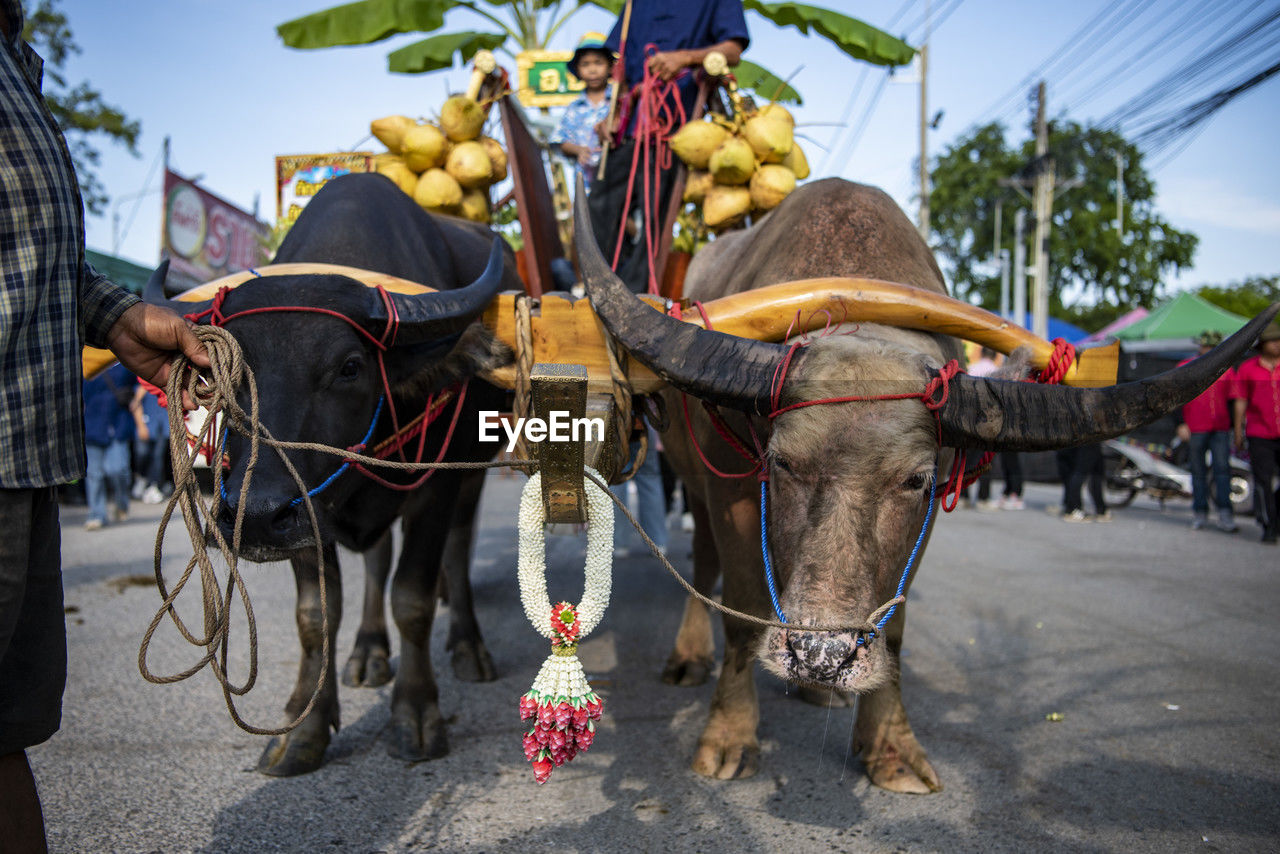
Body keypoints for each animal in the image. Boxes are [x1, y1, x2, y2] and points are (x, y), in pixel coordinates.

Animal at [145, 171, 514, 773]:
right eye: (216, 373)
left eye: (350, 367)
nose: (256, 515)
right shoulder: (305, 514)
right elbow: (316, 614)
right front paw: (303, 730)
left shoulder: (434, 486)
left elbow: (413, 598)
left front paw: (416, 716)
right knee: (377, 557)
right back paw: (368, 653)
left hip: (472, 470)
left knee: (458, 548)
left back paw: (468, 647)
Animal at [583, 175, 1280, 793]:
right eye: (781, 464)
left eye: (915, 480)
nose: (821, 654)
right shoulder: (731, 495)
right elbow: (744, 609)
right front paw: (728, 738)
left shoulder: (925, 521)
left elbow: (893, 628)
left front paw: (890, 748)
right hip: (691, 482)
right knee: (703, 568)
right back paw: (694, 658)